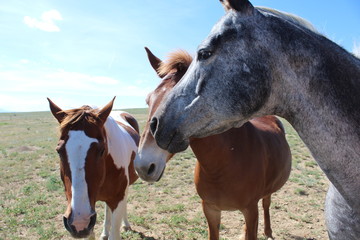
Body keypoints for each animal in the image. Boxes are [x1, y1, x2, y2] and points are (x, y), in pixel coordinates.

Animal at [134, 47, 292, 239]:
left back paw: (268, 231)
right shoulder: (210, 209)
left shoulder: (250, 210)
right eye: (148, 100)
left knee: (266, 203)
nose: (143, 166)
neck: (225, 161)